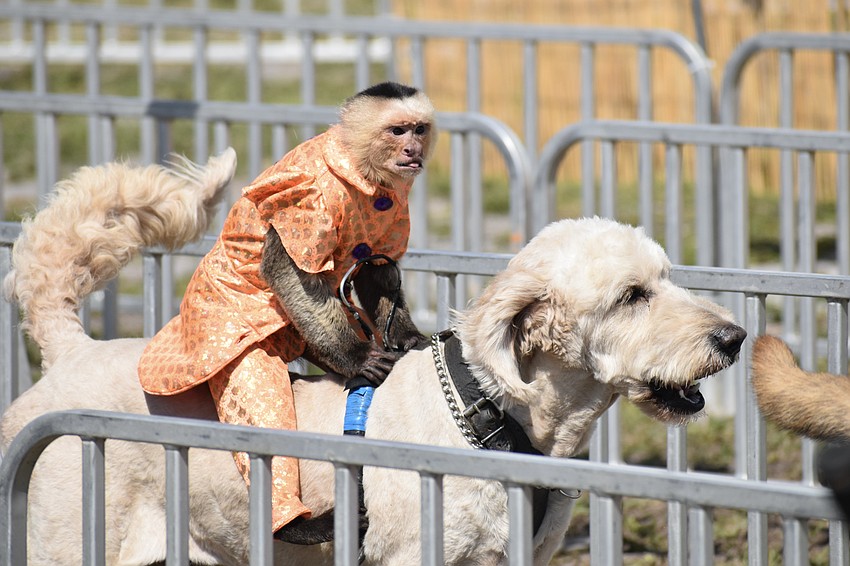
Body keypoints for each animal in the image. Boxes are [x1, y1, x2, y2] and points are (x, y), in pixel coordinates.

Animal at [137, 81, 437, 544]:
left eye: (419, 129)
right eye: (397, 130)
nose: (412, 149)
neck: (358, 171)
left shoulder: (393, 205)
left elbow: (374, 272)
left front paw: (406, 339)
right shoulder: (304, 197)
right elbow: (288, 270)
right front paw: (358, 359)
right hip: (211, 333)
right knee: (261, 398)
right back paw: (296, 527)